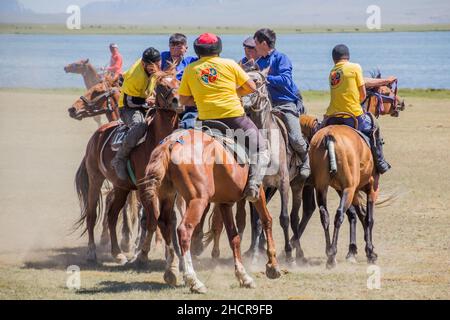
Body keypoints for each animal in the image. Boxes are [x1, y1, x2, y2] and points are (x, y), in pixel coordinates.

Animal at [73, 70, 180, 268]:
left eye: (178, 82)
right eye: (161, 86)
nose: (178, 101)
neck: (156, 139)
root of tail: (96, 135)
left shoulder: (167, 190)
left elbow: (163, 220)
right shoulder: (144, 187)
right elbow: (152, 218)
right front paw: (142, 254)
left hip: (120, 187)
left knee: (112, 215)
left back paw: (117, 253)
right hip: (95, 179)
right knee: (92, 215)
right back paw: (92, 252)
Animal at [139, 124, 284, 294]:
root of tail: (171, 144)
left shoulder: (225, 203)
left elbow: (234, 238)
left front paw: (243, 276)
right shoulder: (259, 192)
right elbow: (267, 220)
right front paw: (272, 266)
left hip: (167, 195)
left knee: (164, 224)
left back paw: (170, 271)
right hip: (198, 200)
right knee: (184, 230)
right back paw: (194, 280)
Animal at [310, 114, 380, 268]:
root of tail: (329, 136)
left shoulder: (344, 190)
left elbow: (357, 215)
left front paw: (354, 251)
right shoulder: (371, 188)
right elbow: (368, 218)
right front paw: (370, 252)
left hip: (322, 188)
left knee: (325, 216)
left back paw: (329, 251)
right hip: (349, 188)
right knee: (339, 215)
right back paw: (332, 257)